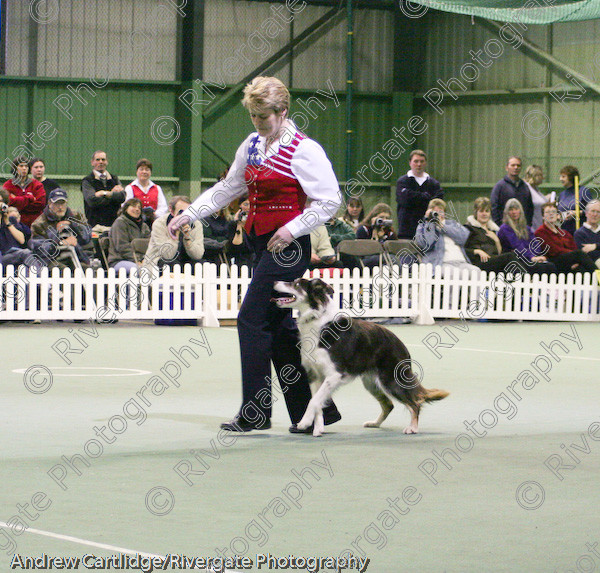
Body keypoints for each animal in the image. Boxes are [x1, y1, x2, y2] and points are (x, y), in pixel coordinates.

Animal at [274, 280, 448, 436]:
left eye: (296, 284)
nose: (275, 282)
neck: (316, 318)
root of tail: (400, 343)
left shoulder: (334, 374)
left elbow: (314, 401)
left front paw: (304, 423)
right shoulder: (315, 375)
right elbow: (317, 402)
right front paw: (317, 429)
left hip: (391, 380)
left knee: (414, 403)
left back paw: (412, 428)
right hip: (371, 382)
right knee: (388, 405)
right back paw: (374, 424)